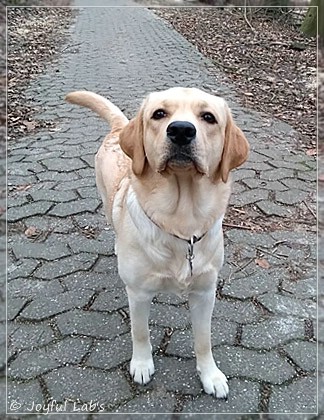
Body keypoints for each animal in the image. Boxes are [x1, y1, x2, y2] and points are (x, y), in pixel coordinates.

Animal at [65, 87, 248, 398]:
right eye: (159, 114)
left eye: (208, 117)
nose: (181, 130)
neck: (181, 222)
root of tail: (120, 127)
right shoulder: (138, 293)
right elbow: (140, 333)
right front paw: (141, 365)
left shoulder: (205, 293)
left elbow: (204, 340)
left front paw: (210, 375)